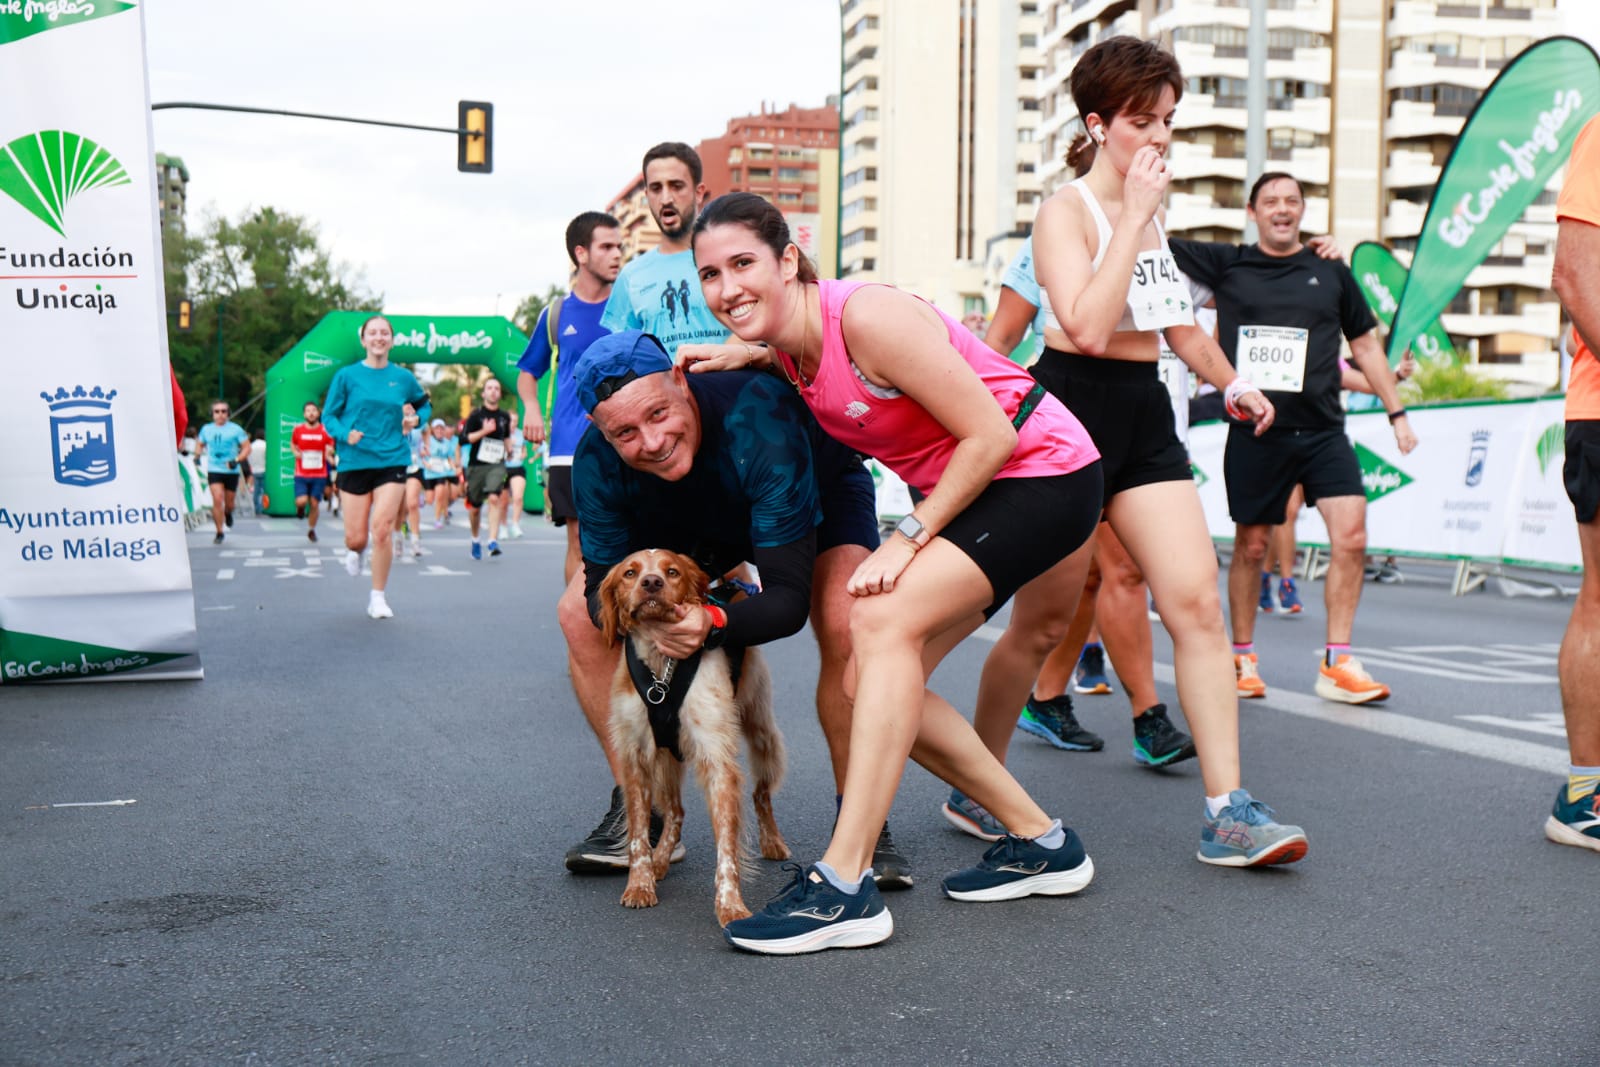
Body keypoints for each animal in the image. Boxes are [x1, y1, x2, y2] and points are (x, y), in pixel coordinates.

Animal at [598, 550, 790, 927]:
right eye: (630, 573)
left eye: (672, 572)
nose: (652, 583)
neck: (662, 666)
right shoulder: (636, 757)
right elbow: (638, 835)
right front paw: (640, 884)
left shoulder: (717, 758)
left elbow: (727, 851)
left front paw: (731, 906)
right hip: (666, 761)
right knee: (676, 812)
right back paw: (660, 861)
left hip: (762, 735)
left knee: (761, 795)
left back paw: (772, 841)